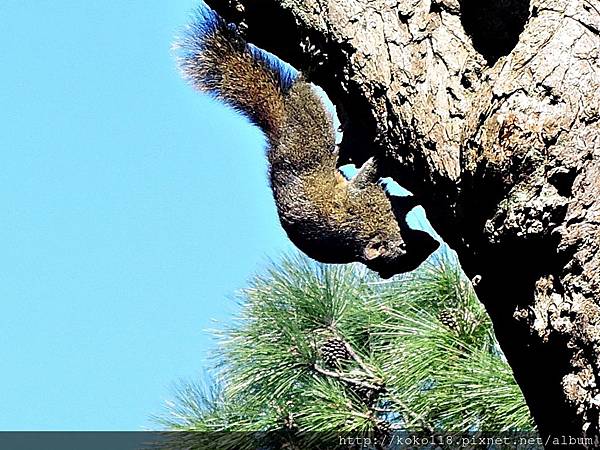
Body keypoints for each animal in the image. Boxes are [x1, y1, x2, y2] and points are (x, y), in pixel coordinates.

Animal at [176, 8, 438, 278]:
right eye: (404, 249)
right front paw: (383, 153)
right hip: (311, 129)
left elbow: (402, 202)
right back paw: (309, 69)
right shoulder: (361, 198)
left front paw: (417, 197)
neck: (362, 230)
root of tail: (279, 138)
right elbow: (367, 177)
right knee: (302, 92)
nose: (435, 244)